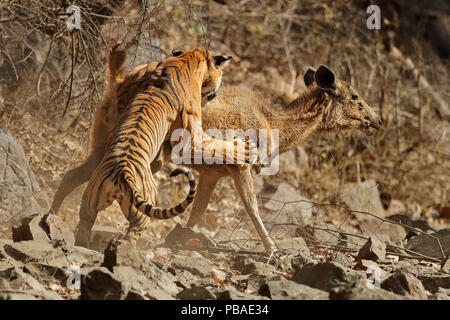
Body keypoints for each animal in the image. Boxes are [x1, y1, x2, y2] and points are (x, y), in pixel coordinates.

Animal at [74, 47, 256, 248]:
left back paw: (82, 243)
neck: (188, 58)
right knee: (133, 232)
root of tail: (122, 172)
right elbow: (216, 145)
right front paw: (243, 149)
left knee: (83, 219)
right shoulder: (192, 136)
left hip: (90, 200)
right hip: (142, 210)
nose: (215, 94)